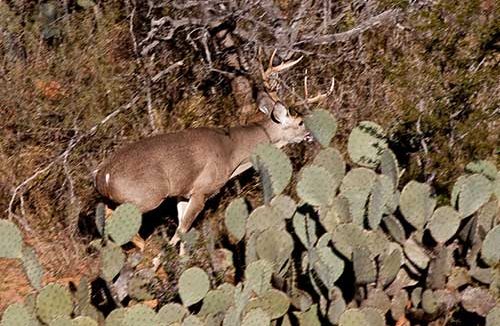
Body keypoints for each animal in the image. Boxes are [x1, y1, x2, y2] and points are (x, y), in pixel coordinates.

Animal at [93, 53, 320, 248]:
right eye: (300, 122)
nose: (311, 134)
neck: (232, 152)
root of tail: (103, 175)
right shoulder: (202, 189)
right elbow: (183, 228)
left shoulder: (183, 193)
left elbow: (182, 226)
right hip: (146, 198)